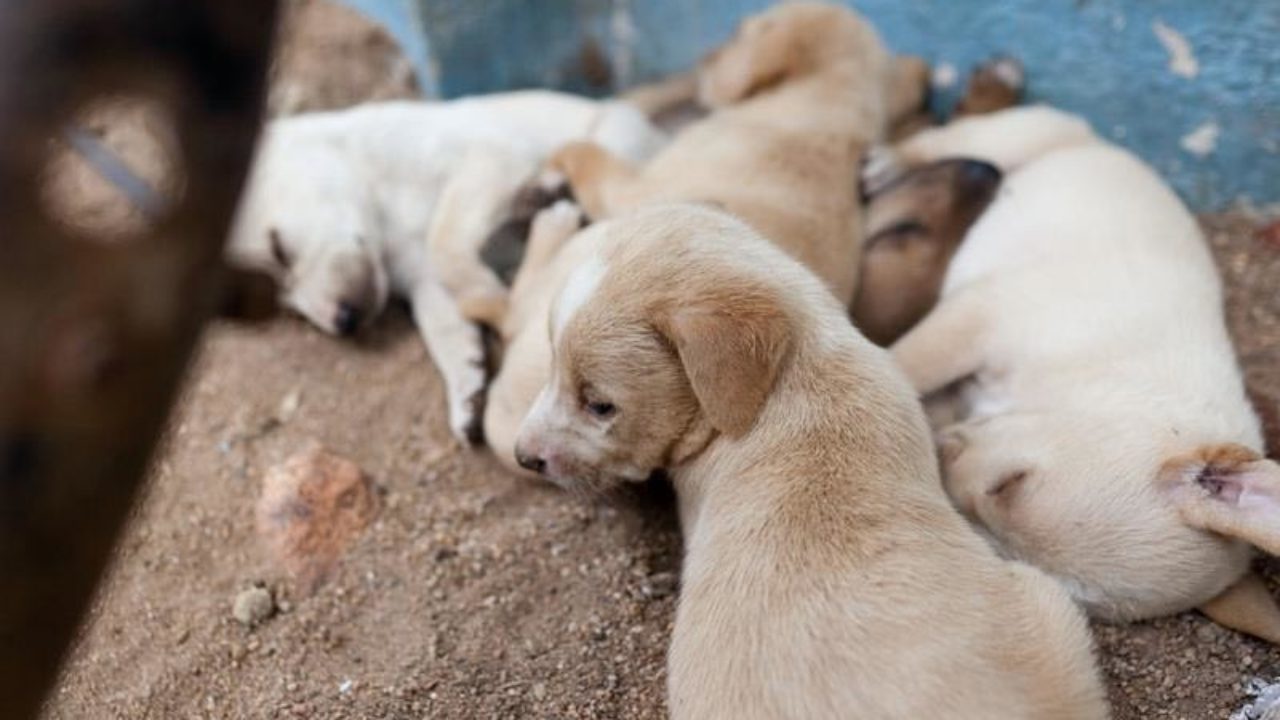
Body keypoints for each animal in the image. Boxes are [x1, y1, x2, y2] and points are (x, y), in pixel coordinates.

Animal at [229, 89, 665, 438]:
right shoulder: (422, 277)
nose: (345, 323)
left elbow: (444, 239)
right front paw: (467, 393)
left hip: (615, 136)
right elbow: (444, 325)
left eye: (278, 249)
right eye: (282, 302)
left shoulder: (485, 160)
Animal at [870, 105, 1280, 638]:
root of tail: (1101, 141)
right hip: (1025, 136)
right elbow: (906, 362)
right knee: (958, 140)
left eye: (995, 544)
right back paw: (889, 159)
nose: (941, 454)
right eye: (1011, 483)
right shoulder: (981, 316)